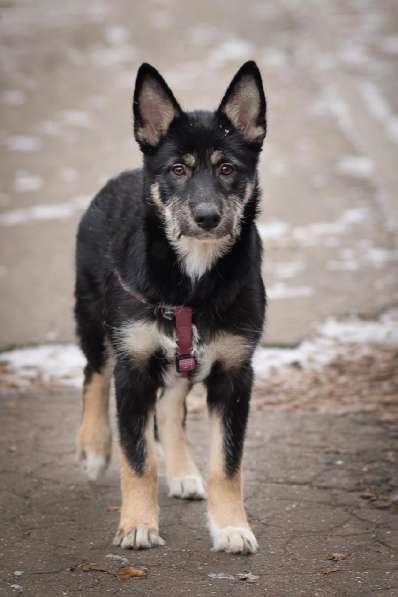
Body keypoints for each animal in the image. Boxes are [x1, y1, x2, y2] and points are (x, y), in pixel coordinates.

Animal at [74, 60, 268, 556]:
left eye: (227, 168)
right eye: (178, 169)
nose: (207, 217)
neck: (192, 282)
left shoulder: (235, 374)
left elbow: (228, 464)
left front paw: (231, 527)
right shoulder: (134, 369)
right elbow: (137, 458)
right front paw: (137, 525)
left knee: (169, 406)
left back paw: (182, 473)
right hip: (94, 315)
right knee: (93, 372)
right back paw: (94, 447)